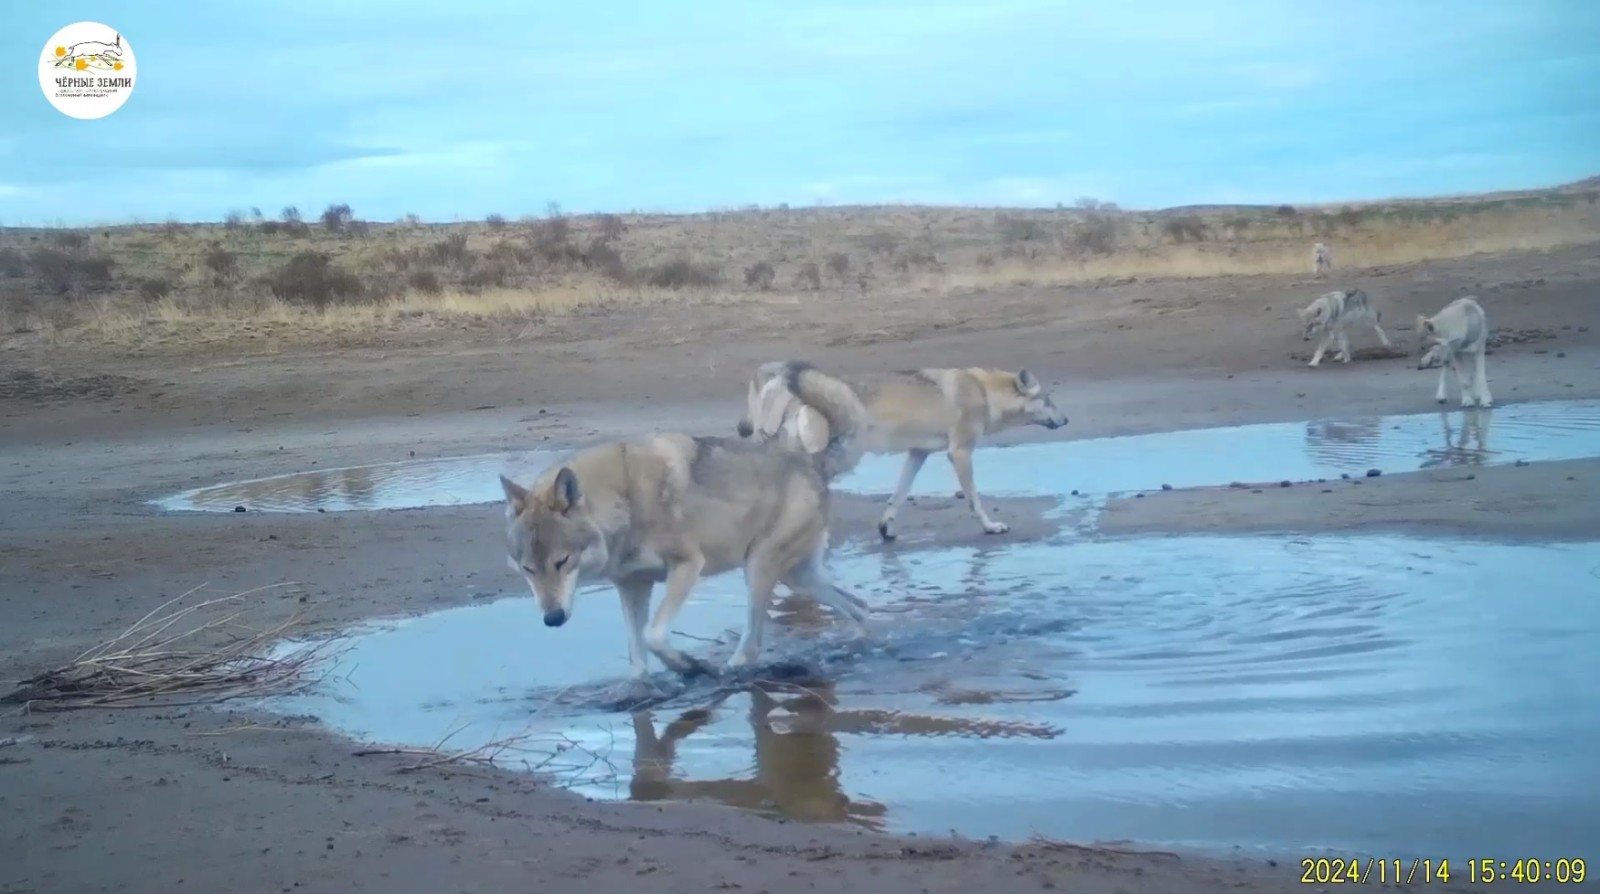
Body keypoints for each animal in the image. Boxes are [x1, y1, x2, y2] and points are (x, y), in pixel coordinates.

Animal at [499, 371, 876, 684]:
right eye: (528, 570)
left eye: (561, 562)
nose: (553, 618)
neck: (624, 503)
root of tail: (812, 461)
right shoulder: (631, 586)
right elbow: (638, 660)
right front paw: (646, 688)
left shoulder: (687, 566)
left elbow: (653, 636)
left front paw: (690, 666)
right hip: (797, 578)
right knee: (860, 608)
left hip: (759, 570)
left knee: (753, 645)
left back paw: (727, 671)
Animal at [732, 359, 1062, 543]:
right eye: (1049, 400)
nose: (1066, 420)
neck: (985, 392)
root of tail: (794, 400)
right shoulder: (960, 453)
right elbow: (974, 500)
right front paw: (991, 527)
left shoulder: (917, 454)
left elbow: (898, 496)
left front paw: (885, 529)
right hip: (836, 460)